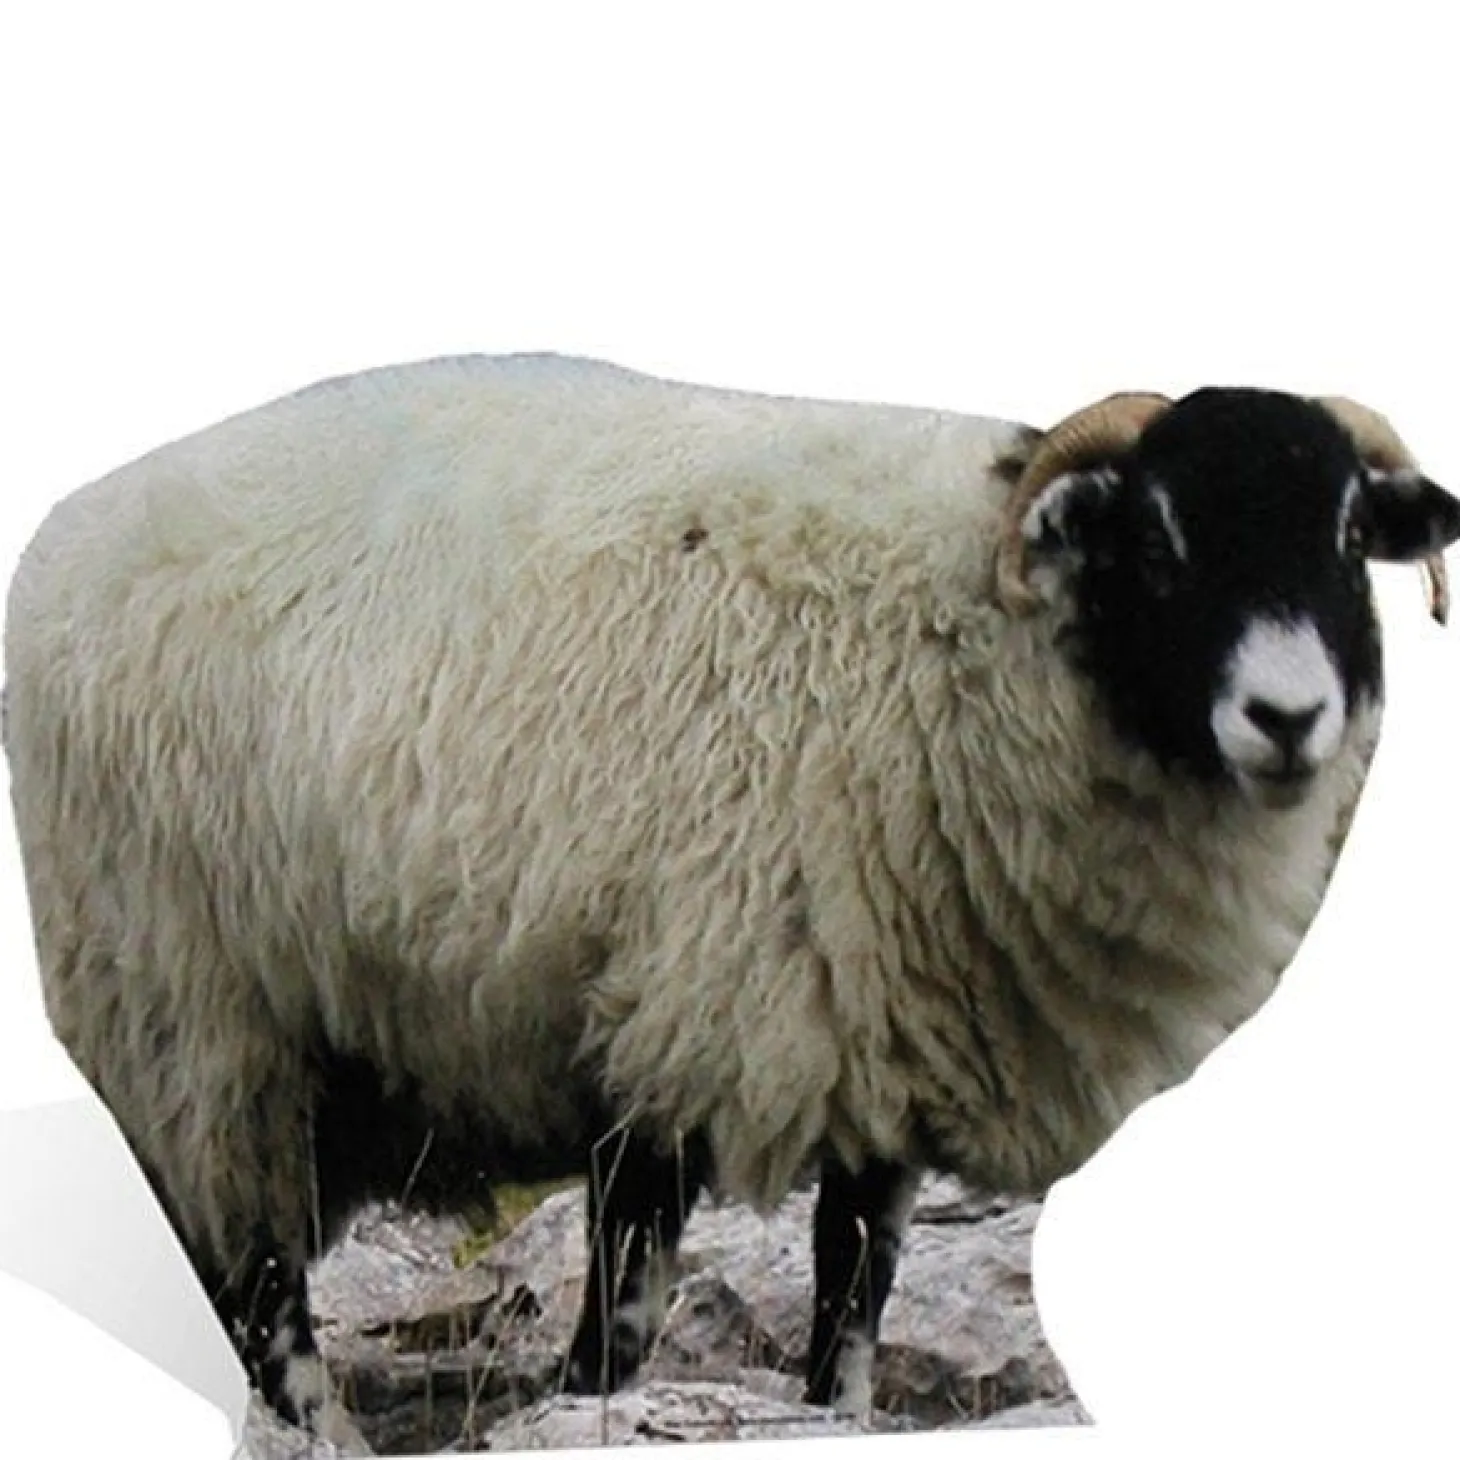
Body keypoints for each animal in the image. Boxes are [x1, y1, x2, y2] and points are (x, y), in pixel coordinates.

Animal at [4, 354, 1457, 1449]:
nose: (1287, 716)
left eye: (1347, 535)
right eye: (1157, 536)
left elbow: (853, 1297)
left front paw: (832, 1405)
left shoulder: (885, 1039)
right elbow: (626, 1314)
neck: (976, 635)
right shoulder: (679, 1000)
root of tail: (66, 530)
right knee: (258, 1290)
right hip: (188, 1004)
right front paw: (595, 1404)